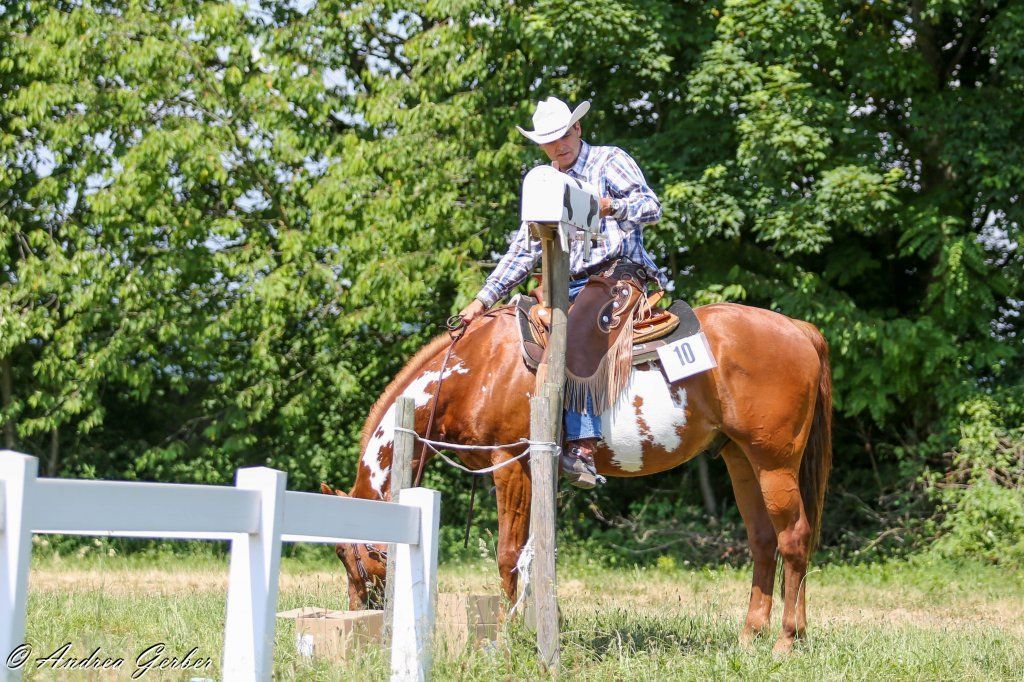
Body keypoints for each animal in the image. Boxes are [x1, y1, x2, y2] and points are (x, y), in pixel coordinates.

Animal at [324, 299, 832, 654]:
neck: (476, 368)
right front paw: (547, 623)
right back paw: (750, 636)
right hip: (740, 459)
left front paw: (509, 632)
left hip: (774, 461)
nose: (359, 617)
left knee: (794, 538)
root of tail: (800, 329)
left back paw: (788, 640)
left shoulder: (511, 462)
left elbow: (510, 554)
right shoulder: (535, 472)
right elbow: (535, 552)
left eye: (350, 557)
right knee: (763, 542)